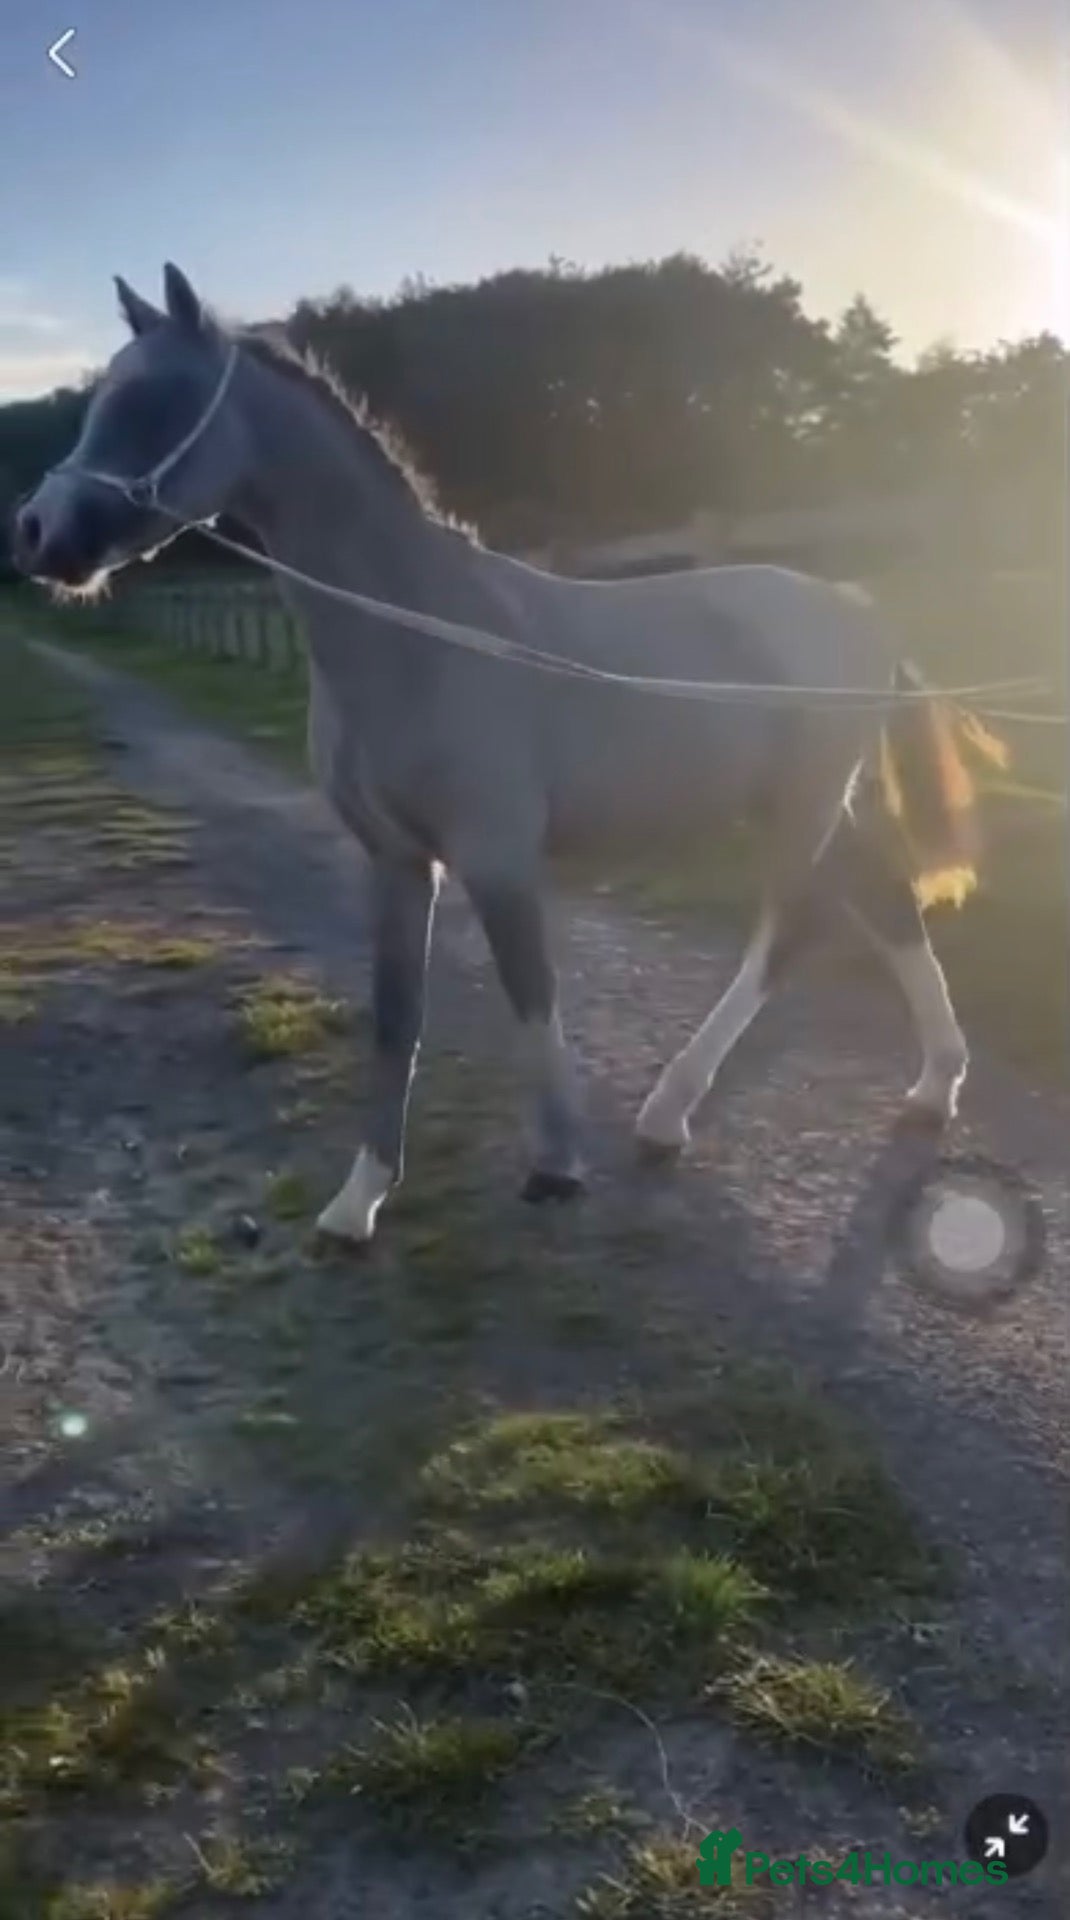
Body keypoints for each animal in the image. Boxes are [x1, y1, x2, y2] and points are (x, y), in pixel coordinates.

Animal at [11, 263, 1006, 1246]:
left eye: (157, 399)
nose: (37, 532)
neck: (417, 633)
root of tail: (855, 607)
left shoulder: (496, 857)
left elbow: (533, 998)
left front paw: (556, 1167)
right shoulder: (396, 860)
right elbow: (396, 1017)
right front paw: (358, 1199)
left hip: (802, 802)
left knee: (793, 930)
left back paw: (668, 1113)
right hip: (809, 802)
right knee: (886, 898)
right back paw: (934, 1085)